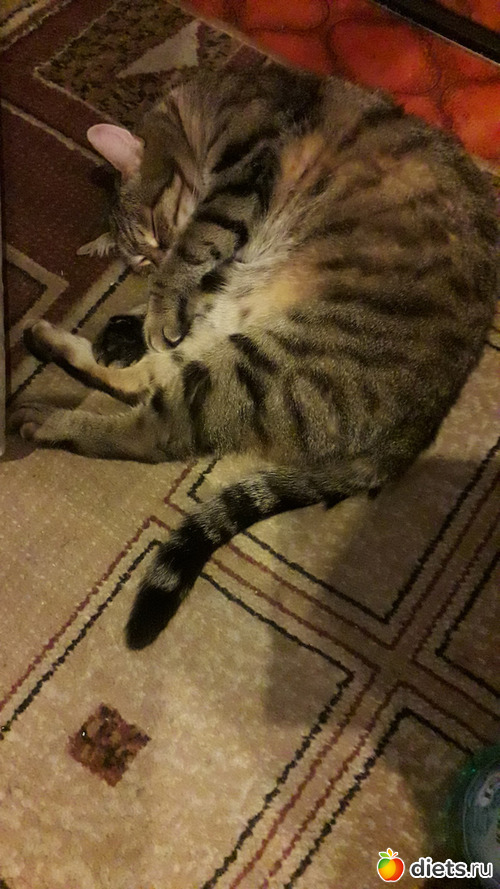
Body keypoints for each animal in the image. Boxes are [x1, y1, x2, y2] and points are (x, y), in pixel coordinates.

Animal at [10, 66, 498, 650]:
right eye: (141, 255)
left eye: (157, 231)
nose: (156, 257)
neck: (210, 102)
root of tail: (415, 434)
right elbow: (184, 290)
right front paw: (136, 322)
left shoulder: (246, 170)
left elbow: (195, 249)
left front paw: (152, 309)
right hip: (251, 345)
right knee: (148, 390)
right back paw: (51, 348)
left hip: (264, 362)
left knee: (151, 430)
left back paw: (49, 416)